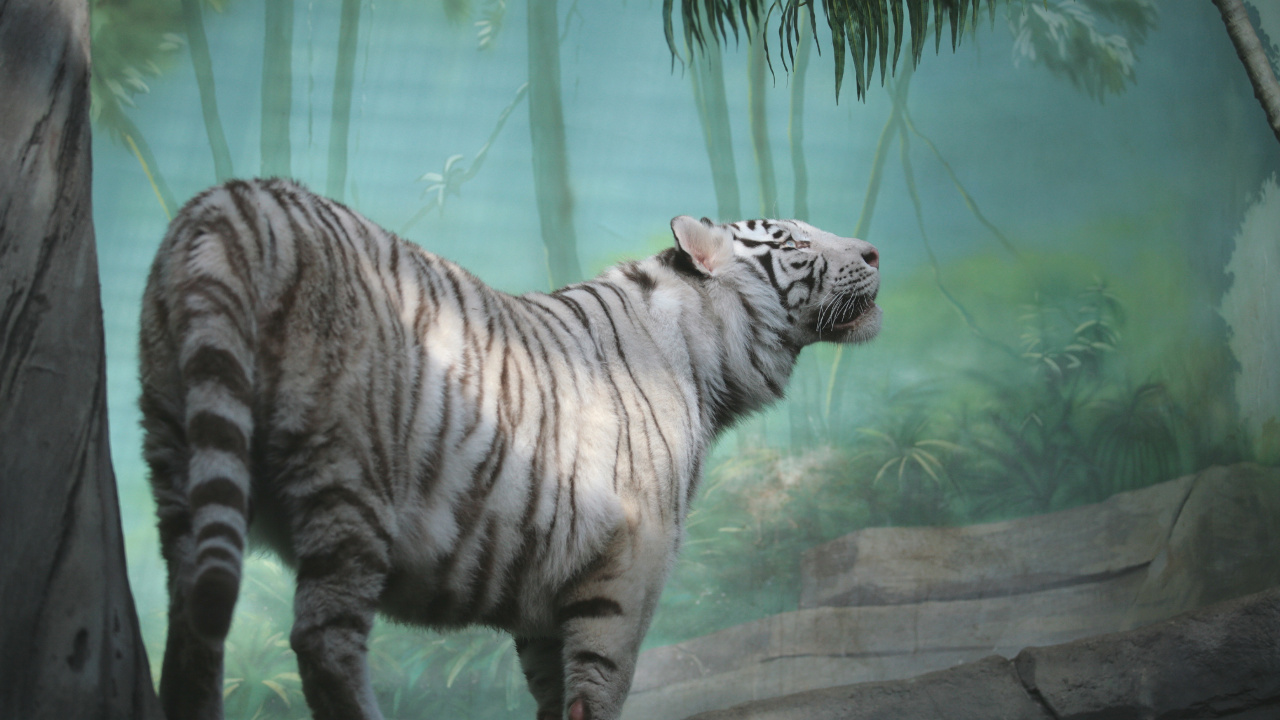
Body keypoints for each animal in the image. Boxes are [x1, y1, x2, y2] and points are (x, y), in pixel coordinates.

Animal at [139, 177, 881, 720]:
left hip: (177, 456)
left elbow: (554, 693)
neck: (707, 357)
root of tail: (231, 201)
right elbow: (602, 682)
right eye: (794, 239)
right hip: (348, 474)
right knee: (322, 638)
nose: (875, 252)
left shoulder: (549, 582)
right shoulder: (632, 558)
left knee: (192, 623)